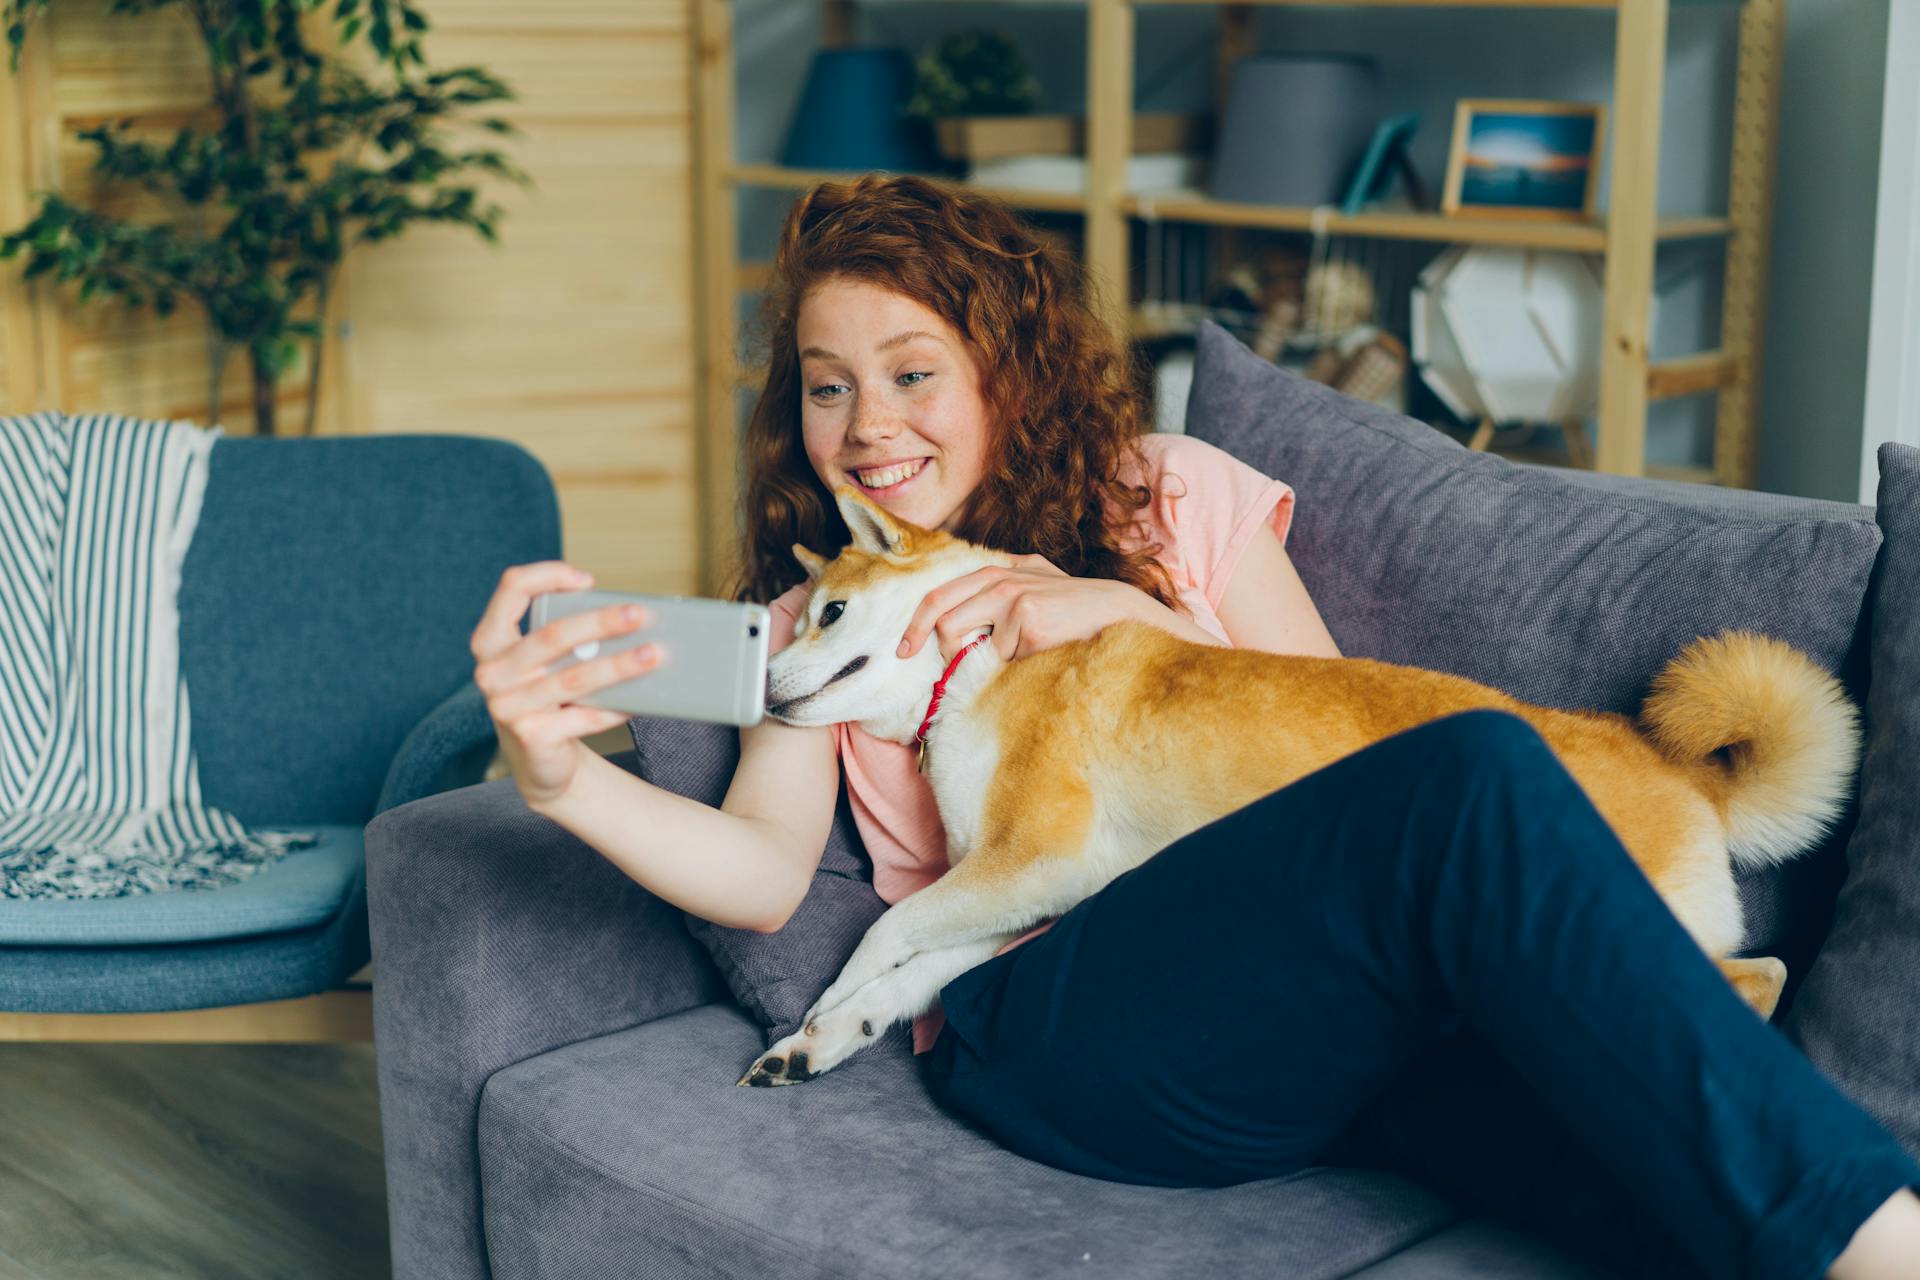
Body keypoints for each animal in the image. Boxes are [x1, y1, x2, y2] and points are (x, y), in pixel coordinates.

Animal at [741, 485, 1866, 1090]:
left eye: (829, 612)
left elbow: (884, 932)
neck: (973, 662)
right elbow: (913, 973)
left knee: (1752, 981)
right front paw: (826, 1038)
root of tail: (1671, 765)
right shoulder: (1033, 888)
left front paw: (824, 1003)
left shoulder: (1036, 859)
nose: (757, 680)